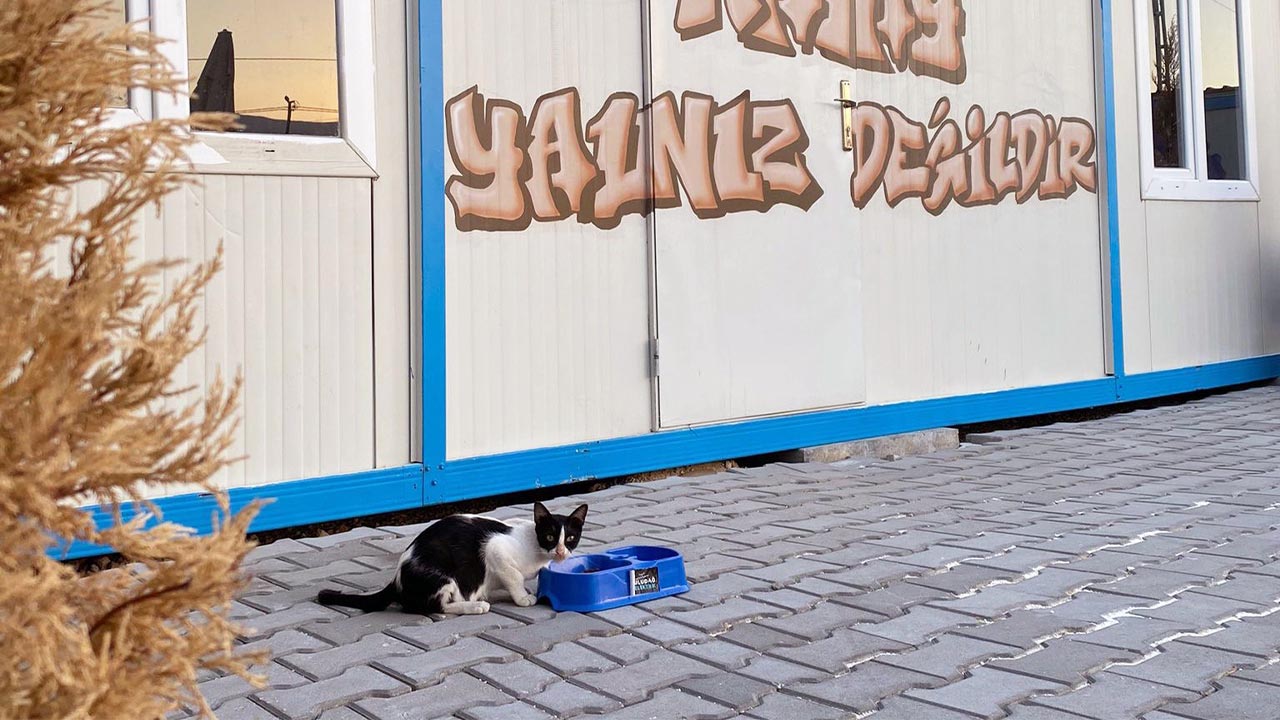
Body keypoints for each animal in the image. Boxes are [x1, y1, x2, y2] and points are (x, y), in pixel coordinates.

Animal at [317, 502, 586, 614]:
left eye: (571, 538)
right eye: (550, 536)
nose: (560, 552)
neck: (535, 546)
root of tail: (397, 579)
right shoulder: (496, 549)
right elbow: (513, 576)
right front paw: (522, 598)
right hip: (442, 574)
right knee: (432, 607)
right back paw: (475, 606)